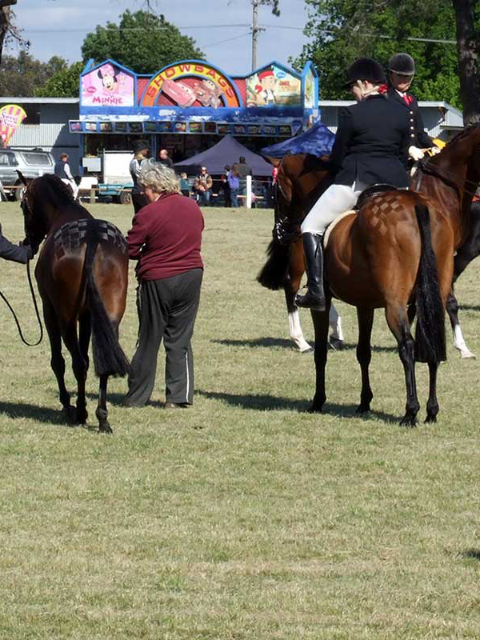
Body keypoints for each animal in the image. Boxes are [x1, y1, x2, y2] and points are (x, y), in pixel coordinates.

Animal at [19, 172, 130, 432]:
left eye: (23, 205)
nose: (28, 242)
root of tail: (92, 240)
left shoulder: (49, 309)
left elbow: (58, 361)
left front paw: (68, 405)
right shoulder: (88, 315)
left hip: (65, 319)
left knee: (77, 363)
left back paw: (78, 412)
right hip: (109, 317)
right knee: (101, 363)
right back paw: (102, 417)